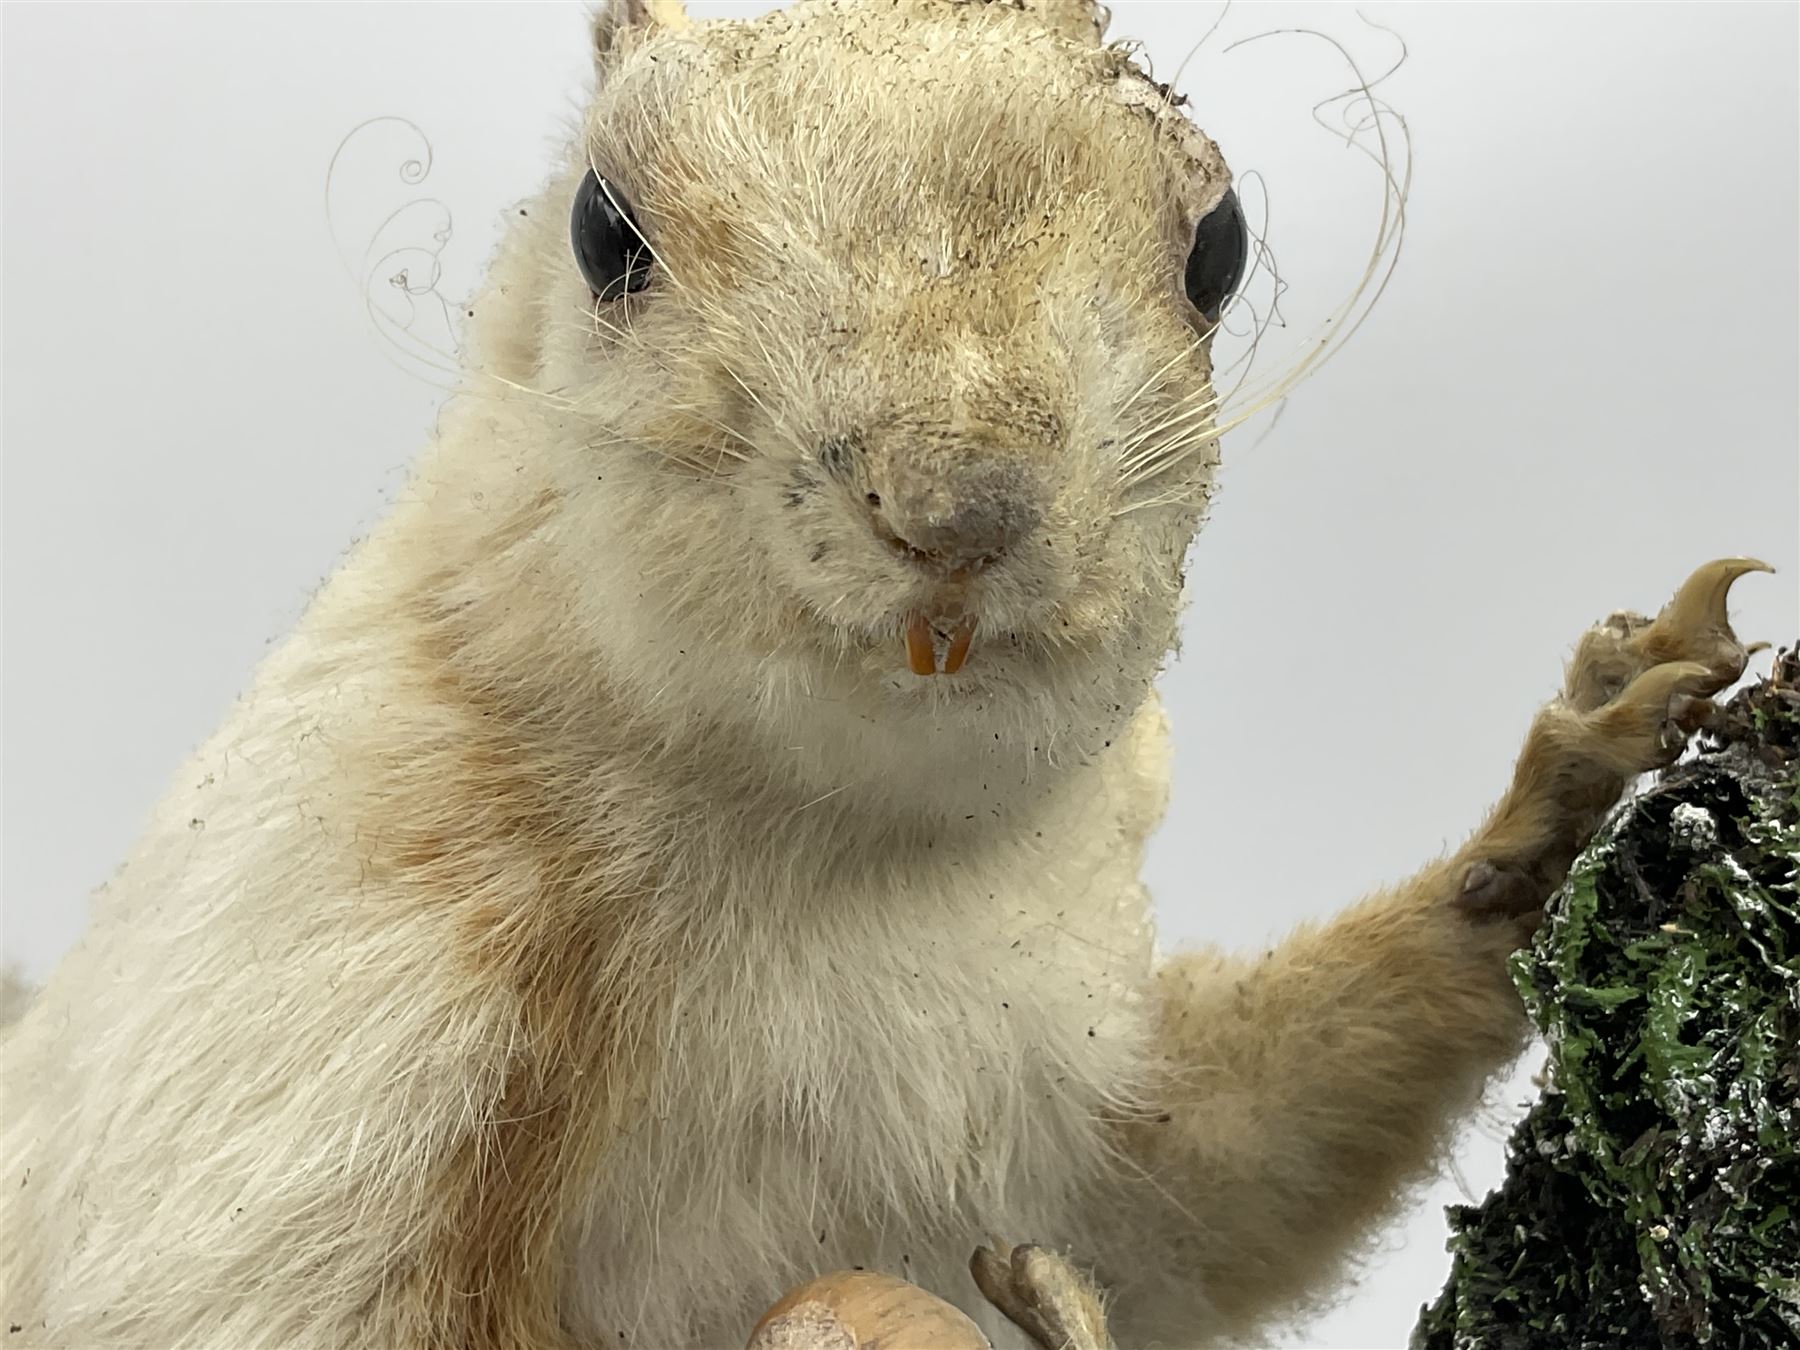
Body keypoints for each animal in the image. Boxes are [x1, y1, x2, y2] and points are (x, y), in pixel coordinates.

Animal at [0, 1, 1773, 1346]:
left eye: (1218, 245)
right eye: (601, 229)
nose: (958, 505)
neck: (832, 849)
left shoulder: (1060, 1081)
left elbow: (1204, 1184)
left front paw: (1564, 796)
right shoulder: (311, 1007)